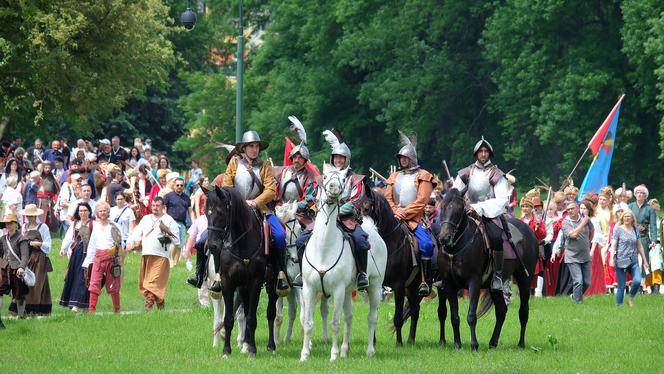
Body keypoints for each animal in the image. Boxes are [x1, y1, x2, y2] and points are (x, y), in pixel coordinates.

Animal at [204, 186, 278, 356]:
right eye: (206, 212)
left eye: (220, 212)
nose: (212, 246)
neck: (241, 244)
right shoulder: (228, 283)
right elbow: (229, 318)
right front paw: (226, 350)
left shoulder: (255, 282)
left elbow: (252, 318)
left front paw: (252, 350)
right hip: (242, 287)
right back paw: (245, 342)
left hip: (271, 284)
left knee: (270, 312)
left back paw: (270, 345)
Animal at [272, 202, 330, 344]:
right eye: (283, 231)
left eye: (299, 228)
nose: (295, 258)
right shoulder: (282, 286)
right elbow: (278, 316)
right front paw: (275, 341)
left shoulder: (300, 286)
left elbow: (304, 316)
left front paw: (308, 342)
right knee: (292, 311)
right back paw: (287, 338)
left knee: (323, 310)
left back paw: (325, 338)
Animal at [300, 165, 386, 360]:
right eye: (325, 177)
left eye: (342, 179)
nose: (333, 189)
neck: (324, 248)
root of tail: (373, 231)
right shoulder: (309, 288)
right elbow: (308, 322)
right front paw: (304, 355)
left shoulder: (337, 290)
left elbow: (334, 323)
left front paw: (333, 355)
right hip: (348, 292)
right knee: (349, 318)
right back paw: (345, 350)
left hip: (375, 286)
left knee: (372, 318)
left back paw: (369, 351)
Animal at [364, 191, 426, 346]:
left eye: (366, 208)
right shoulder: (375, 285)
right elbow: (373, 313)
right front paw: (373, 341)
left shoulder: (398, 287)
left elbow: (398, 317)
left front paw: (399, 343)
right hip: (410, 289)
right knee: (415, 310)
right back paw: (410, 340)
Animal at [438, 190, 536, 350]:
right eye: (443, 207)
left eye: (460, 209)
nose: (444, 238)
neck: (456, 249)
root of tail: (529, 231)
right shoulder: (449, 284)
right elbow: (454, 317)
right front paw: (457, 344)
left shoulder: (474, 282)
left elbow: (471, 315)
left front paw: (474, 345)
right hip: (494, 286)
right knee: (501, 311)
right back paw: (493, 343)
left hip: (524, 280)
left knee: (523, 312)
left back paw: (521, 344)